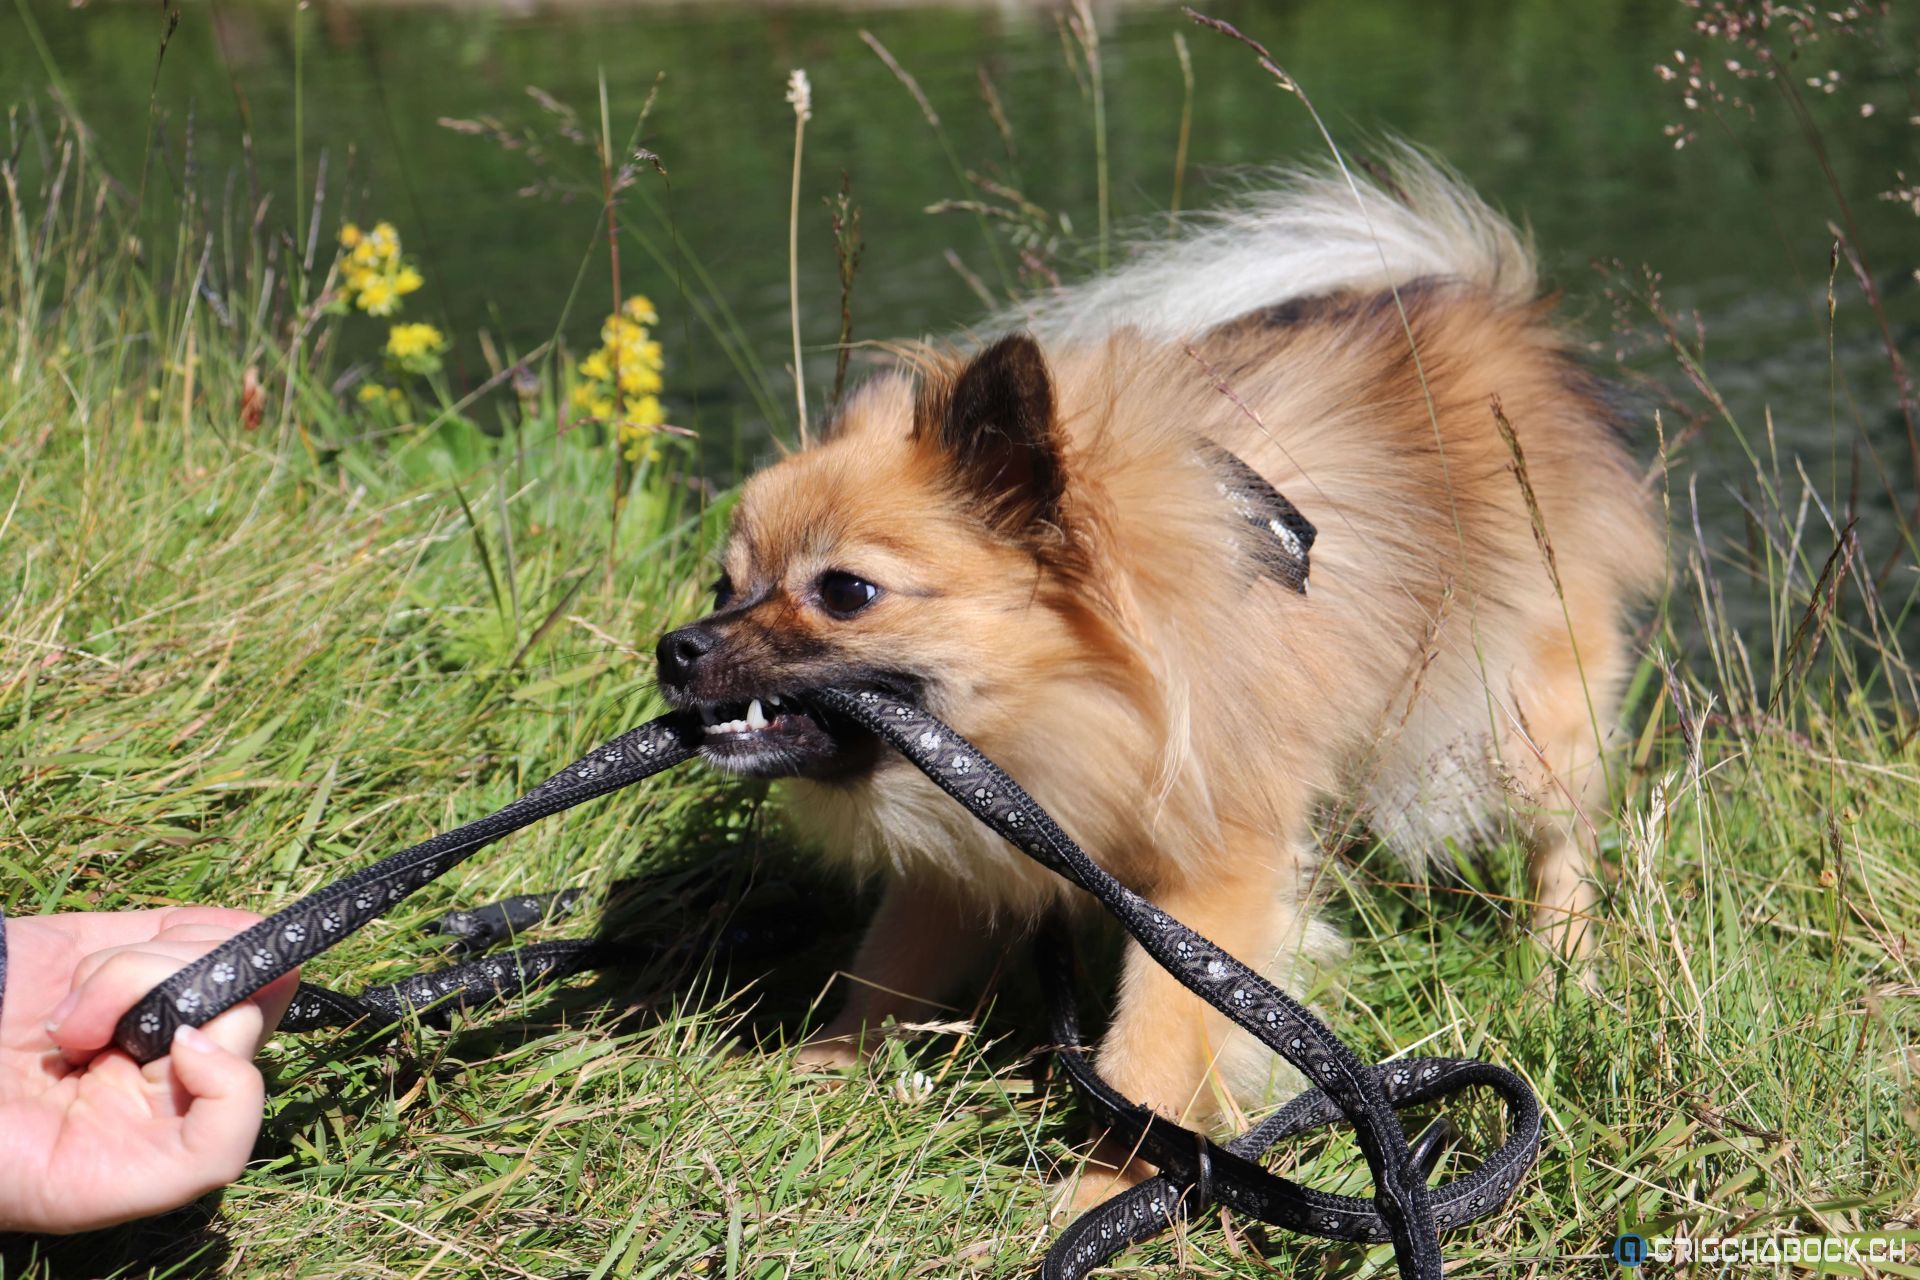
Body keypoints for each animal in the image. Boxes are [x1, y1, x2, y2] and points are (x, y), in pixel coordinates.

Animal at [656, 155, 1666, 1205]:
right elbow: (889, 966)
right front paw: (819, 1073)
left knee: (1563, 841)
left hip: (1522, 718)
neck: (1087, 694)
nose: (675, 647)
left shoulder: (1211, 880)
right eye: (724, 586)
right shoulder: (968, 856)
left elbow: (1147, 1047)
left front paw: (1103, 1192)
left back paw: (1559, 967)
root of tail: (1496, 308)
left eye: (845, 592)